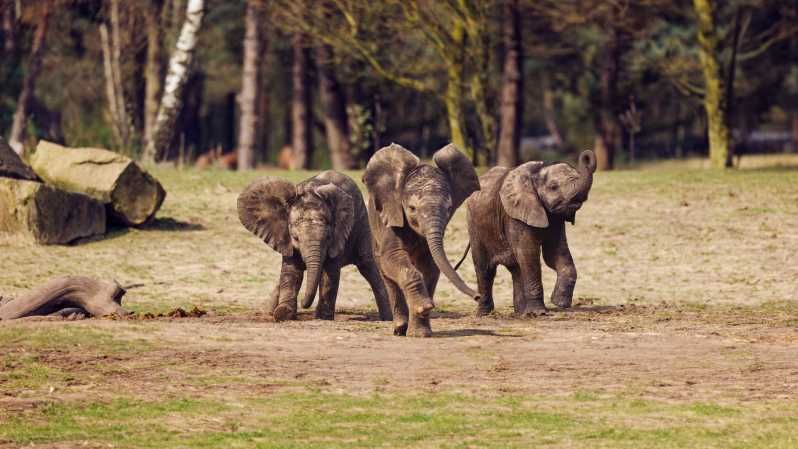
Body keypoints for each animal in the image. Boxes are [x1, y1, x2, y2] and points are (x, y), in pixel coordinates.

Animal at [239, 170, 392, 320]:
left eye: (328, 238)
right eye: (295, 238)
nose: (303, 304)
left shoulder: (338, 236)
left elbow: (329, 273)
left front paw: (322, 317)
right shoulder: (285, 237)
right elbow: (291, 271)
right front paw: (283, 315)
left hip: (362, 222)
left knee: (368, 266)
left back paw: (387, 319)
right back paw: (269, 311)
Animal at [362, 144, 482, 336]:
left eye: (449, 208)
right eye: (412, 208)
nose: (478, 296)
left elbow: (430, 266)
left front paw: (421, 333)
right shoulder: (390, 216)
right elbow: (393, 257)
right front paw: (424, 306)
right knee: (388, 277)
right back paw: (399, 329)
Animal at [466, 150, 596, 316]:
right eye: (553, 187)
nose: (586, 155)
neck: (534, 175)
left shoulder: (554, 218)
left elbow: (554, 253)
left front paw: (559, 303)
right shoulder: (515, 215)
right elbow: (529, 254)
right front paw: (541, 313)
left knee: (516, 268)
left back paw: (522, 313)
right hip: (475, 226)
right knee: (485, 269)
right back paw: (484, 314)